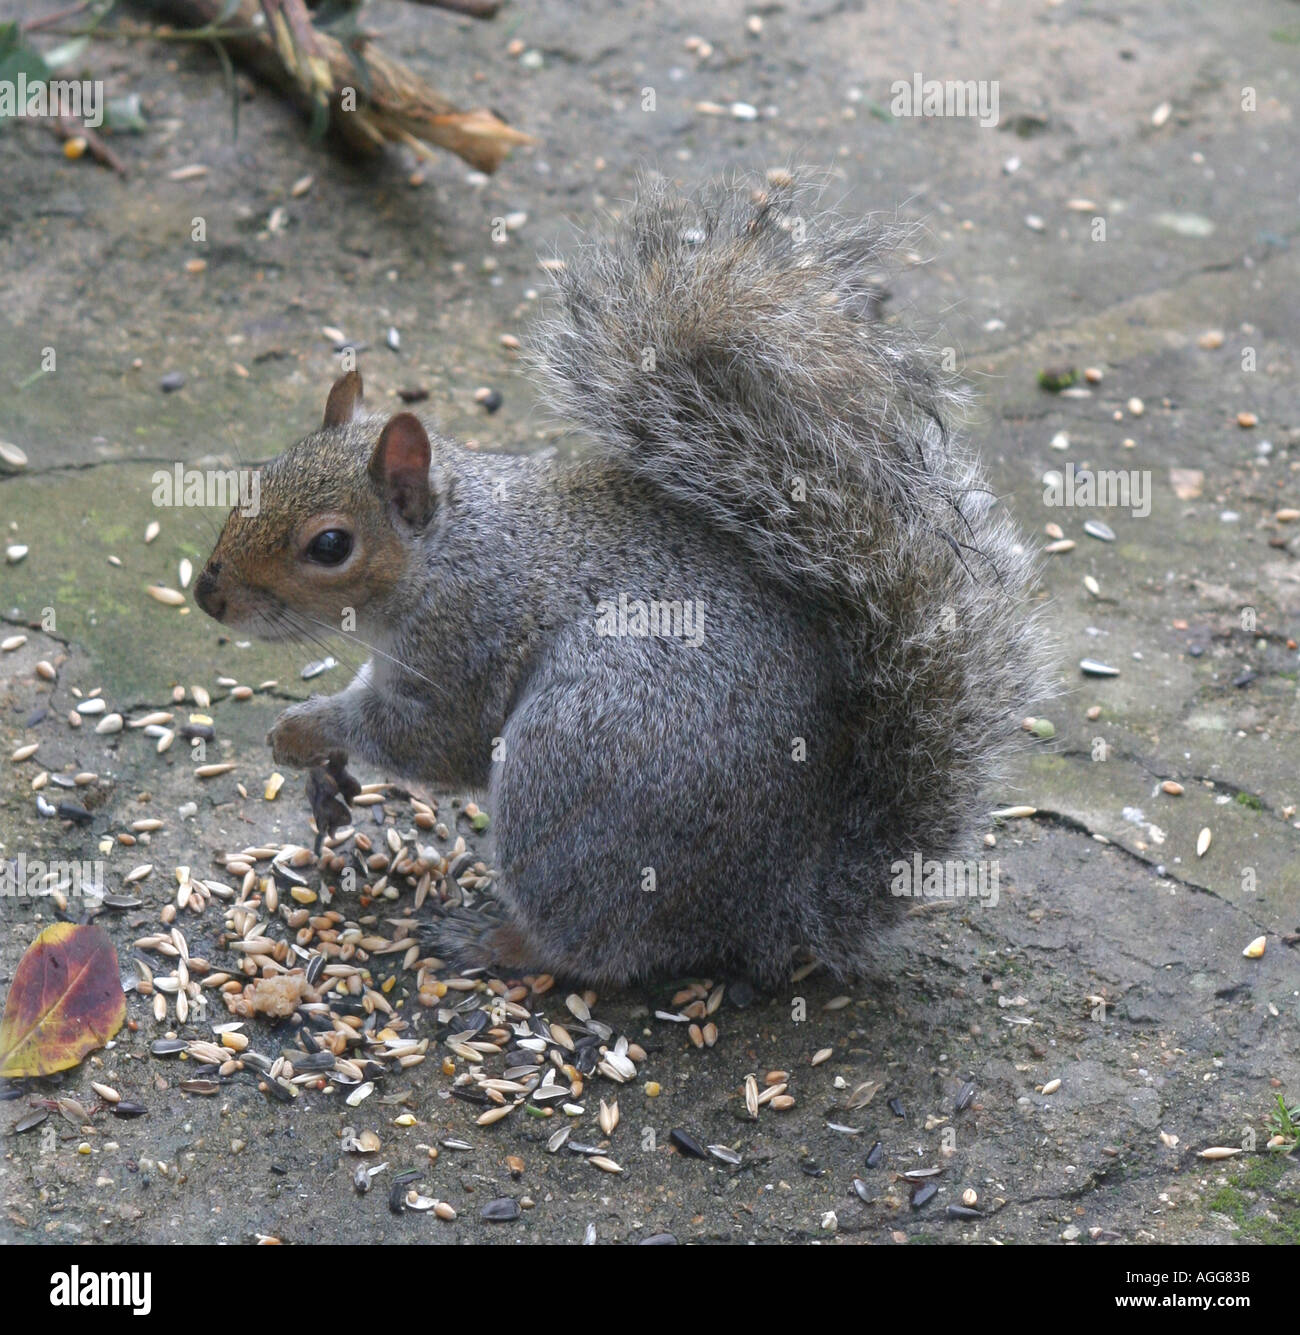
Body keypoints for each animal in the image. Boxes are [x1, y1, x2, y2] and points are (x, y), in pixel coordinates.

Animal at [195, 169, 1050, 990]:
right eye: (259, 477)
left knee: (597, 948)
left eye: (330, 545)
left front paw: (301, 729)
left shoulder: (467, 644)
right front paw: (323, 779)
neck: (447, 551)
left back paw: (495, 941)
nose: (209, 594)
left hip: (570, 763)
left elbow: (429, 738)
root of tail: (773, 904)